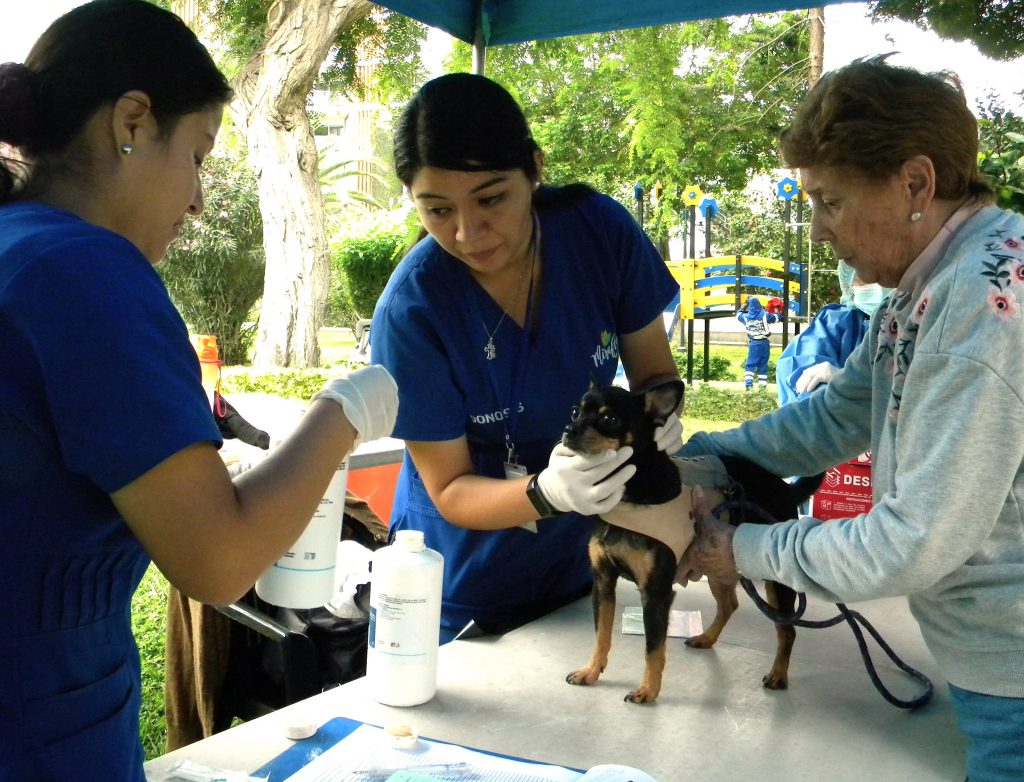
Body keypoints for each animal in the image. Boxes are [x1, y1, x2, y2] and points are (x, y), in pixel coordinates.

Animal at [565, 376, 819, 704]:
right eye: (575, 412)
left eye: (609, 419)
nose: (569, 430)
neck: (629, 496)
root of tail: (786, 489)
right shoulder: (604, 583)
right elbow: (601, 635)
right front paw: (591, 671)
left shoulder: (656, 593)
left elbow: (654, 648)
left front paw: (648, 690)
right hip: (718, 563)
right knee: (729, 605)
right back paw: (707, 638)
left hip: (776, 584)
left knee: (786, 630)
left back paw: (778, 674)